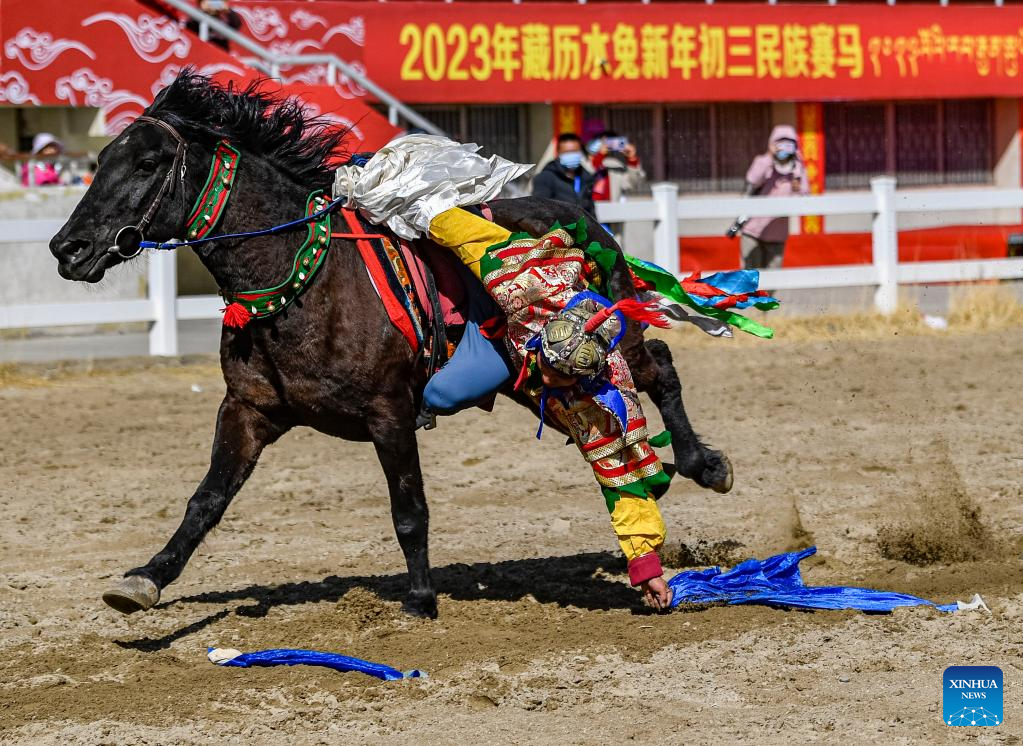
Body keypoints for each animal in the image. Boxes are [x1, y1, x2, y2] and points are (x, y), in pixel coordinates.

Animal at [51, 71, 732, 618]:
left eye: (145, 164)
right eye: (100, 160)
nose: (67, 247)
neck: (306, 280)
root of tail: (588, 219)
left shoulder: (390, 413)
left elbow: (409, 509)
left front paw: (422, 597)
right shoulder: (248, 410)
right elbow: (206, 501)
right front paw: (147, 577)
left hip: (601, 343)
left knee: (660, 367)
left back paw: (704, 463)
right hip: (528, 377)